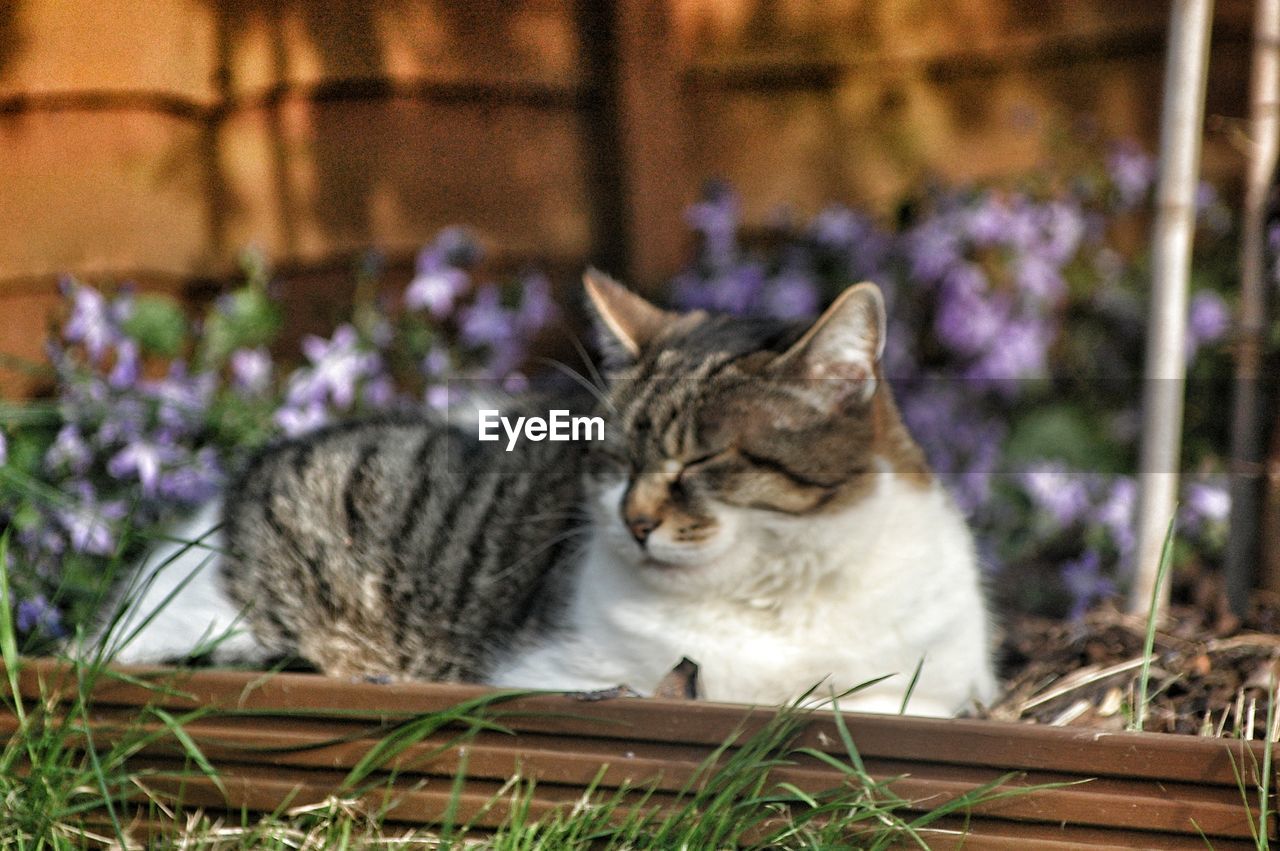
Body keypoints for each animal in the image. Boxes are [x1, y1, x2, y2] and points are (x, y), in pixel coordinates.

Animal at [99, 272, 998, 716]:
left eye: (700, 459)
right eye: (616, 458)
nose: (635, 521)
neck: (783, 594)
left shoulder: (941, 687)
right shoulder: (567, 671)